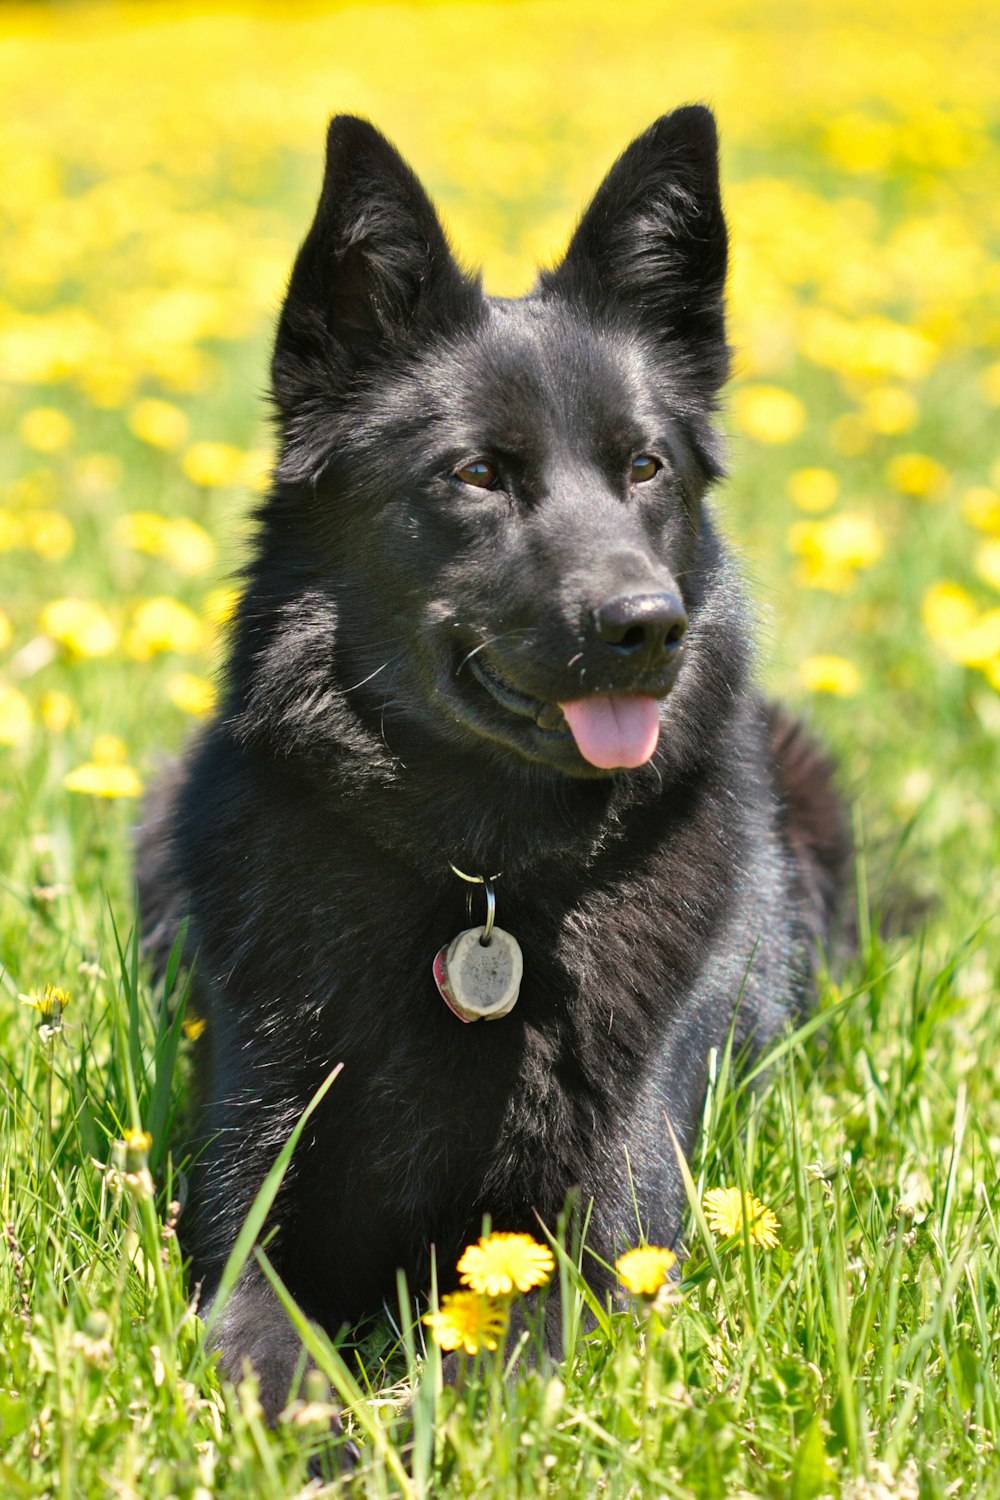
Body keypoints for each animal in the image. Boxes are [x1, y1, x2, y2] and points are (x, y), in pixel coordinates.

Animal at [137, 102, 851, 1416]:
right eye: (476, 473)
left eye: (644, 468)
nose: (649, 626)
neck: (484, 881)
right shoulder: (254, 1210)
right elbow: (273, 1354)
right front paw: (322, 1436)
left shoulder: (590, 1235)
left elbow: (472, 1384)